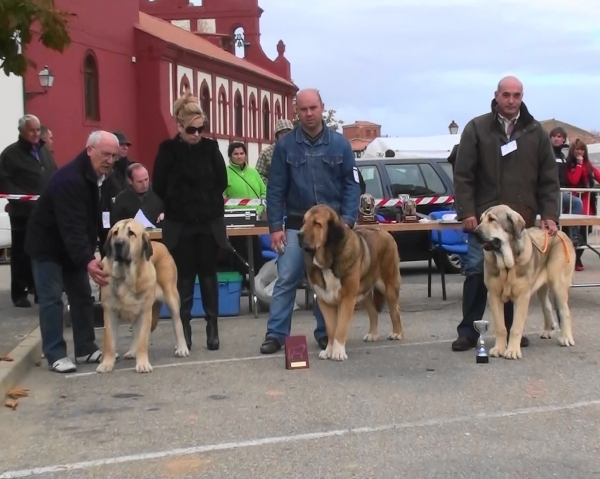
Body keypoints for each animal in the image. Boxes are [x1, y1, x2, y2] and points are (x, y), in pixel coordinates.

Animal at [97, 218, 189, 376]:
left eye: (131, 233)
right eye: (115, 233)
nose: (118, 243)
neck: (126, 278)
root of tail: (160, 244)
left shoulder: (145, 312)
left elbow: (142, 340)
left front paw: (143, 364)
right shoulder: (109, 312)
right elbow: (109, 342)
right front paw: (107, 364)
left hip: (171, 295)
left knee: (177, 322)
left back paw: (182, 347)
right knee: (135, 333)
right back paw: (132, 351)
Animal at [298, 204, 404, 362]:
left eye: (317, 223)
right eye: (304, 222)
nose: (299, 234)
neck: (329, 261)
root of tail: (386, 234)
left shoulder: (347, 299)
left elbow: (340, 327)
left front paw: (338, 352)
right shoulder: (325, 300)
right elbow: (331, 328)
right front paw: (328, 350)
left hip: (389, 286)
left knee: (394, 310)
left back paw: (397, 333)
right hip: (363, 291)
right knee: (373, 312)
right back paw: (372, 334)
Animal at [474, 205, 576, 360]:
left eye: (492, 219)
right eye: (480, 220)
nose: (474, 232)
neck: (508, 263)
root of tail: (560, 233)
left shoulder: (522, 297)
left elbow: (515, 327)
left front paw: (512, 351)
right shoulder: (493, 296)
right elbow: (500, 327)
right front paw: (499, 348)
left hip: (558, 284)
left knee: (565, 310)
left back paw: (566, 338)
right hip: (542, 288)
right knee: (546, 305)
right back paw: (547, 330)